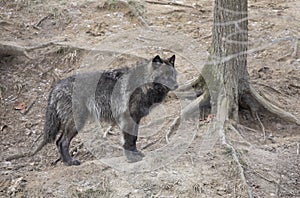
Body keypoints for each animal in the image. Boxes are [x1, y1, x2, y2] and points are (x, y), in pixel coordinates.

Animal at [7, 54, 178, 166]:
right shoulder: (127, 119)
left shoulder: (135, 120)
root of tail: (57, 86)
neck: (143, 84)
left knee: (59, 142)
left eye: (174, 74)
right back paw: (71, 162)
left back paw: (66, 162)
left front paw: (136, 154)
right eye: (165, 75)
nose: (176, 85)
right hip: (76, 123)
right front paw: (131, 159)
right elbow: (128, 141)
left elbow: (133, 140)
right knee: (61, 142)